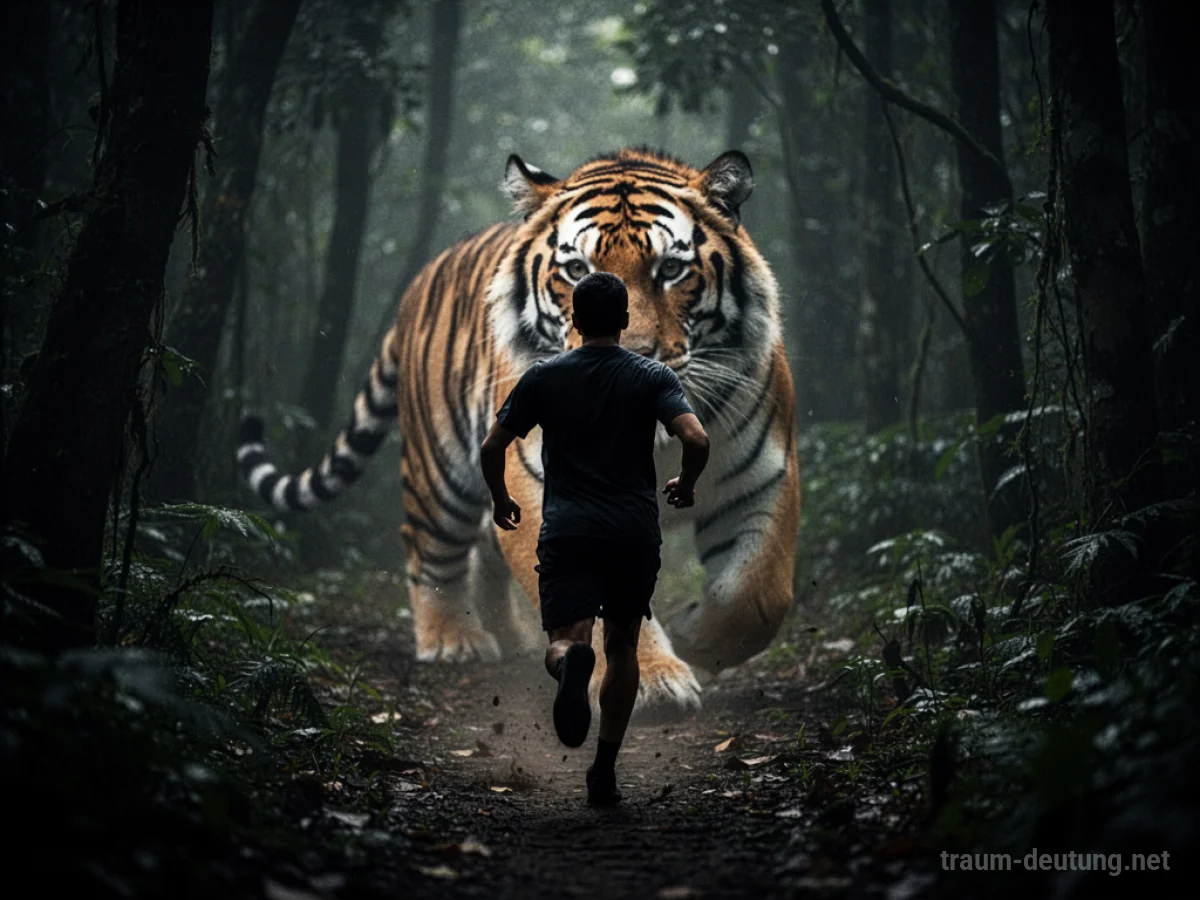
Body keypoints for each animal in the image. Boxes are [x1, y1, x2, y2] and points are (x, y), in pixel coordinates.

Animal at [237, 148, 801, 710]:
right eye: (576, 270)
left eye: (671, 269)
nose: (630, 356)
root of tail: (418, 283)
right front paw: (652, 681)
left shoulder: (763, 478)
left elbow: (758, 594)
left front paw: (692, 636)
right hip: (439, 470)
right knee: (427, 544)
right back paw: (452, 639)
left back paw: (512, 635)